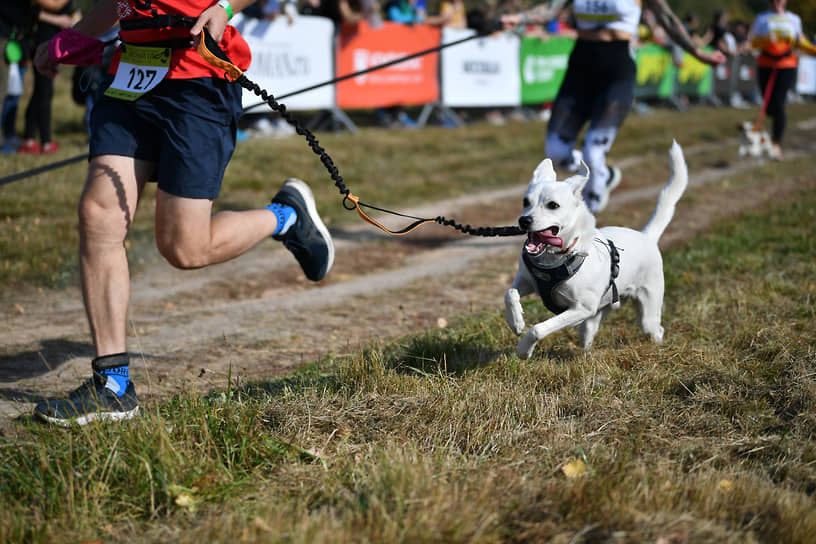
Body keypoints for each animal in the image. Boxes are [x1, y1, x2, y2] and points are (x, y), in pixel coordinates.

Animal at [504, 142, 688, 360]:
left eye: (553, 205)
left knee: (655, 329)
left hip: (647, 309)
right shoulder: (527, 281)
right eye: (525, 202)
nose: (524, 220)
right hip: (594, 318)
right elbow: (510, 293)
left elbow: (539, 329)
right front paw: (516, 322)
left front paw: (524, 349)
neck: (555, 258)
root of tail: (647, 236)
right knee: (587, 337)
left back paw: (657, 348)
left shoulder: (581, 309)